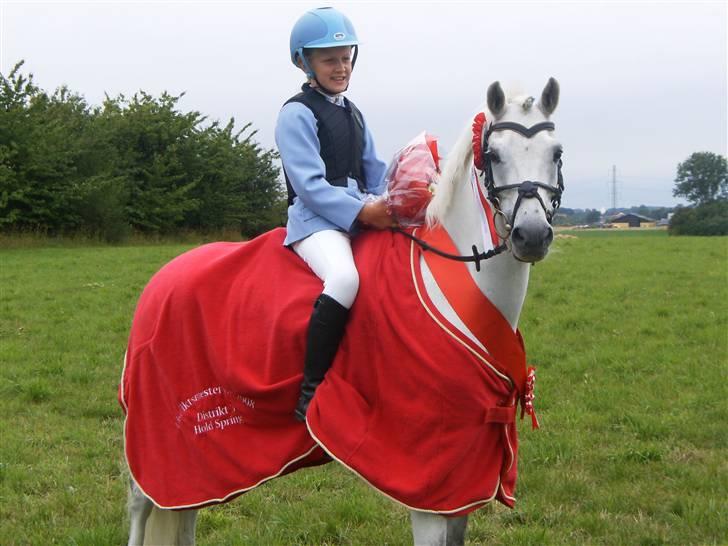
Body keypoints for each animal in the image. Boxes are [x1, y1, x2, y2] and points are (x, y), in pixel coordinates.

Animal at [125, 77, 564, 544]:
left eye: (555, 152)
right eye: (494, 155)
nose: (531, 235)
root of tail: (161, 280)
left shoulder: (462, 479)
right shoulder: (426, 482)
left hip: (202, 457)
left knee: (184, 512)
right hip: (160, 444)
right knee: (141, 506)